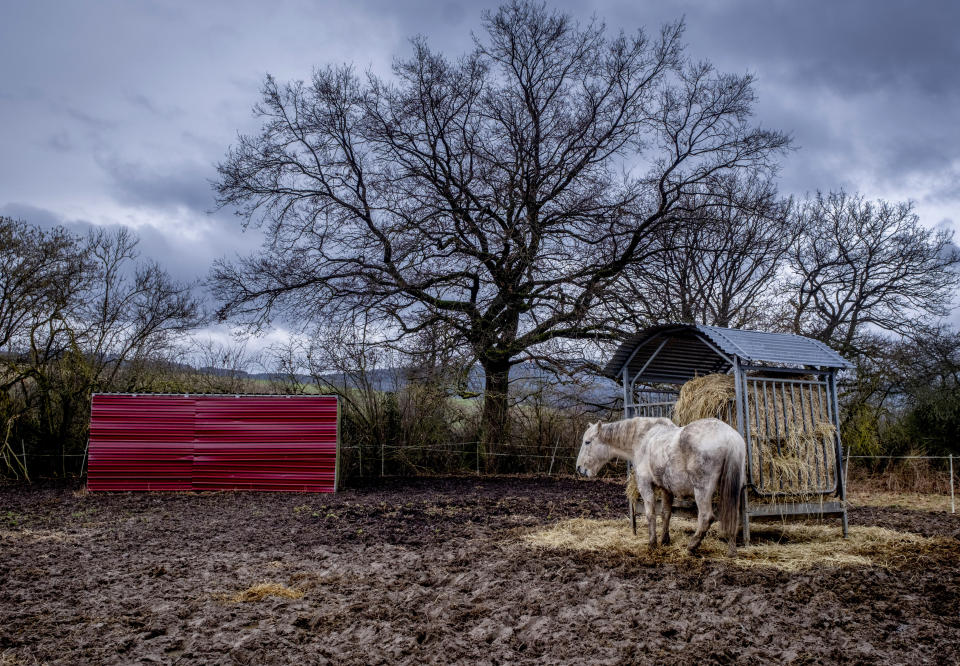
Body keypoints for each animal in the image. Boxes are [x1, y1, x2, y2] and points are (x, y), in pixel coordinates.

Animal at [572, 416, 748, 556]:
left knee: (706, 517)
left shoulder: (645, 484)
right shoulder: (666, 489)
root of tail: (729, 436)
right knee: (733, 515)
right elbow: (666, 513)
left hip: (702, 490)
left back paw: (692, 546)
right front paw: (665, 540)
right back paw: (732, 550)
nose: (579, 468)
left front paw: (652, 543)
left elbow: (651, 513)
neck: (642, 438)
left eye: (587, 442)